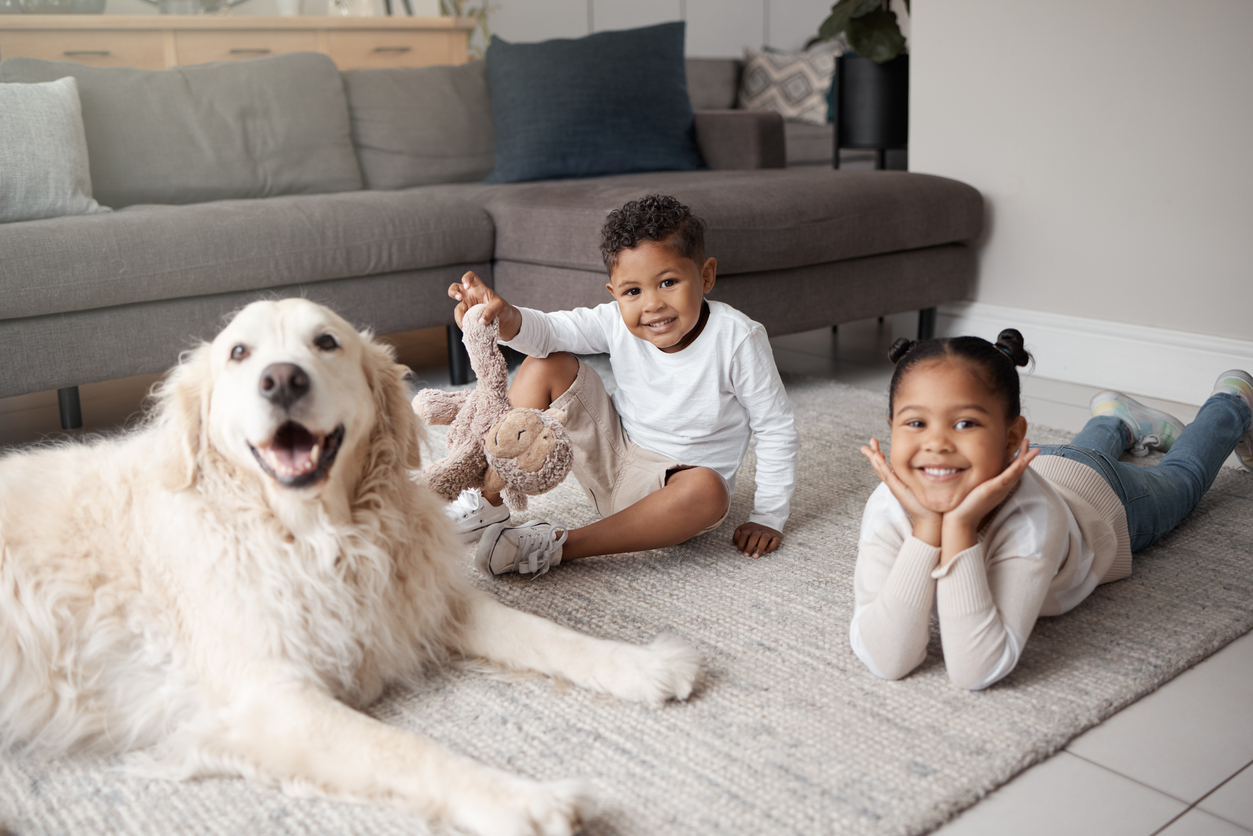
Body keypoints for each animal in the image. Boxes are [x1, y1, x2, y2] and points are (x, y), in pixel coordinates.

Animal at [0, 300, 701, 836]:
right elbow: (407, 749)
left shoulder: (419, 602)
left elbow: (550, 635)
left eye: (325, 342)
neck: (320, 535)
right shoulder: (272, 701)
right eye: (239, 353)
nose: (282, 380)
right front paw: (525, 800)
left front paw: (643, 665)